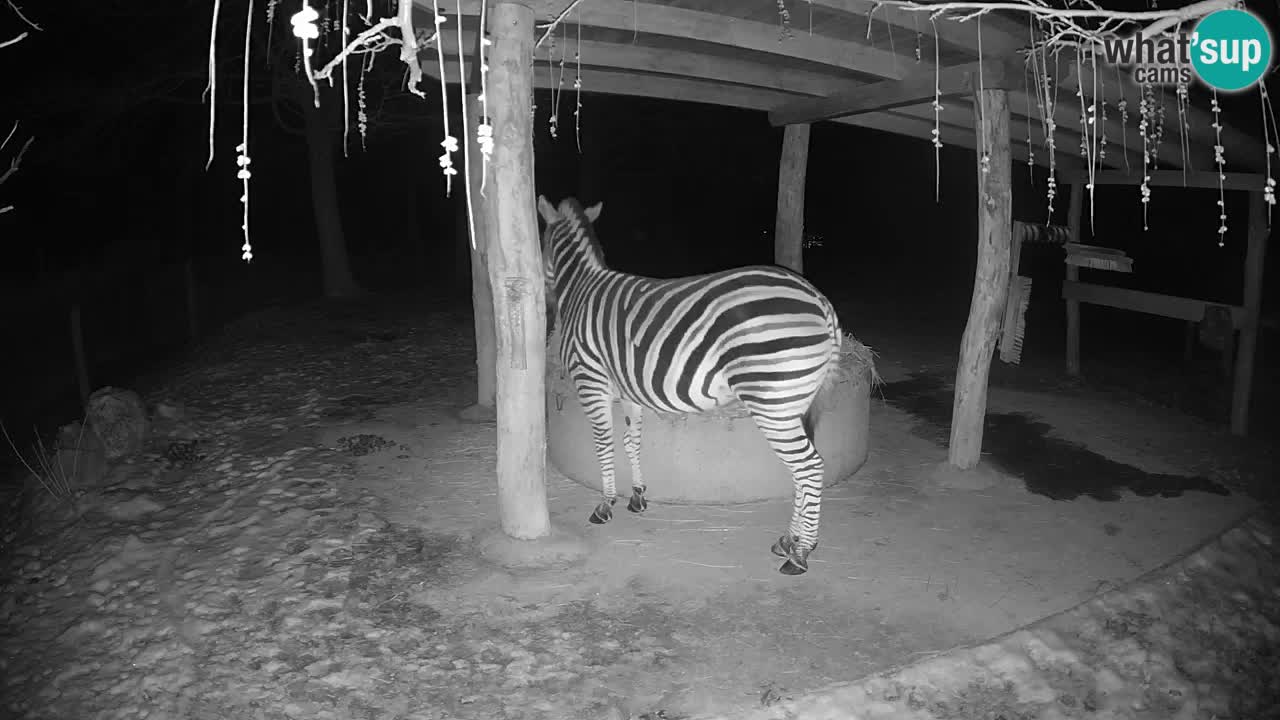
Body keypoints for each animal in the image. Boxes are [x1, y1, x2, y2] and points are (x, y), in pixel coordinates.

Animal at [535, 193, 844, 573]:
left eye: (542, 243)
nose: (546, 304)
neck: (581, 286)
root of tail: (820, 300)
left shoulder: (590, 381)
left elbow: (604, 444)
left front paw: (605, 504)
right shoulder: (628, 390)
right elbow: (631, 442)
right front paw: (637, 497)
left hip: (773, 404)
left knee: (810, 468)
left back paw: (801, 554)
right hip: (792, 403)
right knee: (802, 471)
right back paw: (788, 541)